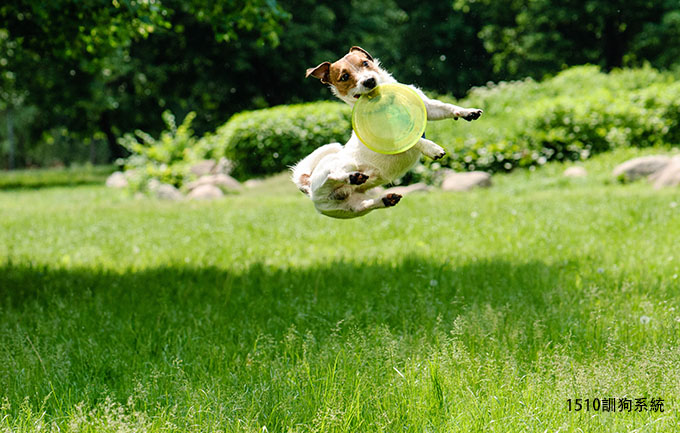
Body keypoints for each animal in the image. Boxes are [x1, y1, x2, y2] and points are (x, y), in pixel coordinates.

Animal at [292, 46, 484, 219]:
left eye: (365, 63)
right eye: (345, 77)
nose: (369, 81)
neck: (387, 103)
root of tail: (308, 185)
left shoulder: (428, 108)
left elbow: (447, 107)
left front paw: (468, 112)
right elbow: (414, 139)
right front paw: (432, 148)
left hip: (349, 209)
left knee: (364, 205)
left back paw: (384, 199)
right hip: (339, 167)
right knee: (332, 176)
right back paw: (352, 177)